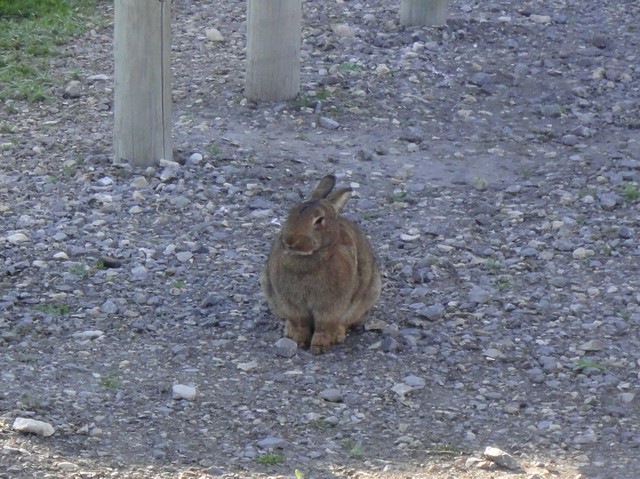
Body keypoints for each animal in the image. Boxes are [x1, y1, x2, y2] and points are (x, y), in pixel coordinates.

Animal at [260, 174, 380, 354]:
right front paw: (299, 341)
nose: (290, 241)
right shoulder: (292, 304)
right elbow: (300, 323)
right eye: (291, 213)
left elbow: (324, 325)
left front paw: (319, 347)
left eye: (319, 220)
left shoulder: (331, 306)